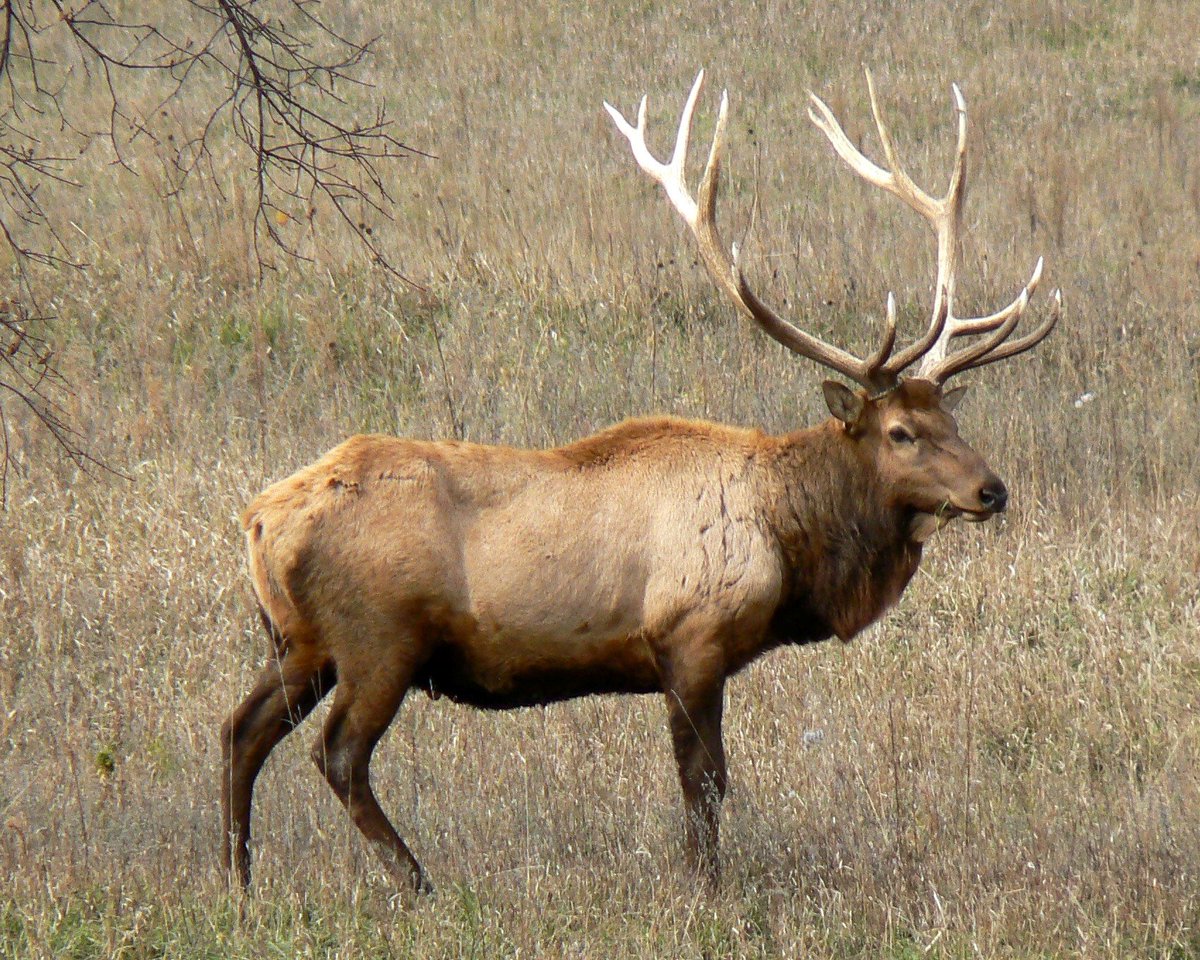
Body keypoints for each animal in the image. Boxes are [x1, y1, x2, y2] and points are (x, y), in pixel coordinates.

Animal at [221, 70, 1059, 895]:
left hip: (301, 641)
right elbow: (704, 781)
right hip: (378, 637)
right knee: (337, 752)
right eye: (900, 433)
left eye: (951, 416)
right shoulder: (690, 636)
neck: (790, 544)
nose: (992, 489)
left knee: (239, 730)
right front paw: (706, 888)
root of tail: (258, 519)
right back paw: (417, 883)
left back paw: (240, 880)